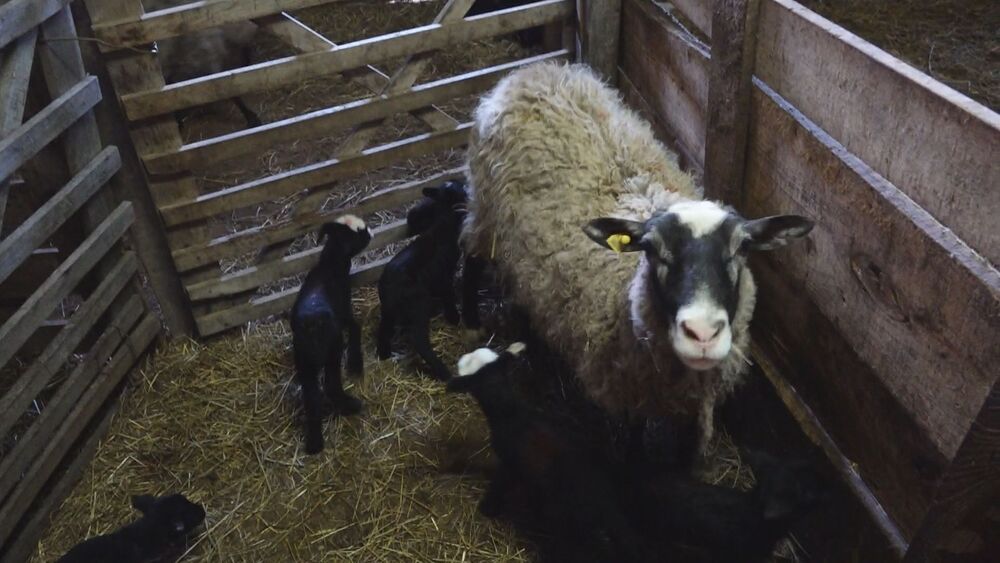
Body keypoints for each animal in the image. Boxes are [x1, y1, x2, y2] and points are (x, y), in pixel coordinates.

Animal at [291, 215, 372, 455]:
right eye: (358, 233)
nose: (370, 232)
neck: (331, 265)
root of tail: (310, 326)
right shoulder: (344, 311)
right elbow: (356, 326)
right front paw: (355, 362)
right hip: (332, 349)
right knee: (331, 385)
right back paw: (351, 405)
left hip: (304, 360)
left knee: (312, 397)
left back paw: (314, 443)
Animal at [377, 181, 468, 381]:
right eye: (460, 188)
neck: (444, 218)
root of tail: (389, 287)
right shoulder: (444, 274)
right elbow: (448, 293)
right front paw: (453, 317)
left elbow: (413, 218)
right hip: (418, 306)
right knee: (419, 340)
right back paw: (443, 372)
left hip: (388, 309)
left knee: (384, 328)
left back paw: (384, 353)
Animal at [447, 343, 650, 563]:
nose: (460, 360)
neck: (510, 410)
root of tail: (606, 508)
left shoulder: (509, 462)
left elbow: (500, 483)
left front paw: (488, 508)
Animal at [461, 61, 814, 469]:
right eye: (653, 250)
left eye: (740, 249)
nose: (702, 334)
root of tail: (535, 71)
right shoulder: (625, 397)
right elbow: (632, 448)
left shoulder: (691, 409)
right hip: (485, 210)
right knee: (469, 252)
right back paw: (469, 320)